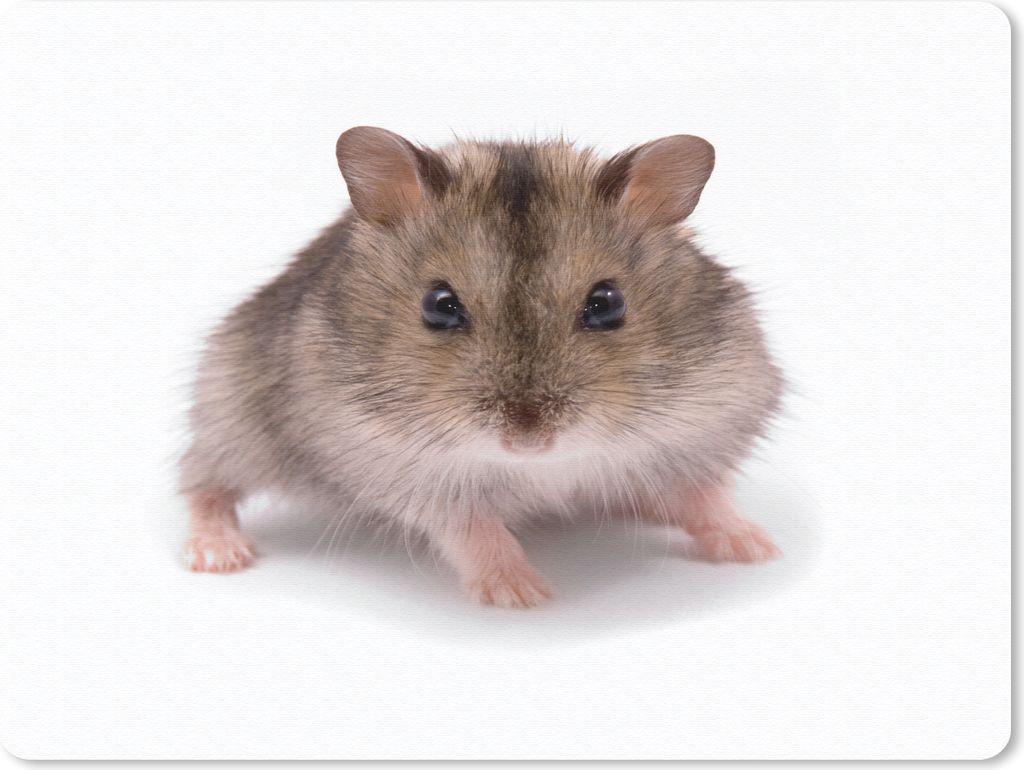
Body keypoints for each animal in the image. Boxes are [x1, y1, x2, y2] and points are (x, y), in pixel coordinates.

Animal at [179, 127, 783, 607]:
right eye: (439, 306)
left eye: (607, 303)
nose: (529, 439)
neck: (545, 469)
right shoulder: (403, 467)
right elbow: (474, 531)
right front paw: (523, 595)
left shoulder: (706, 424)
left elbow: (705, 496)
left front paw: (755, 549)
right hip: (229, 409)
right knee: (204, 483)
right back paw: (218, 555)